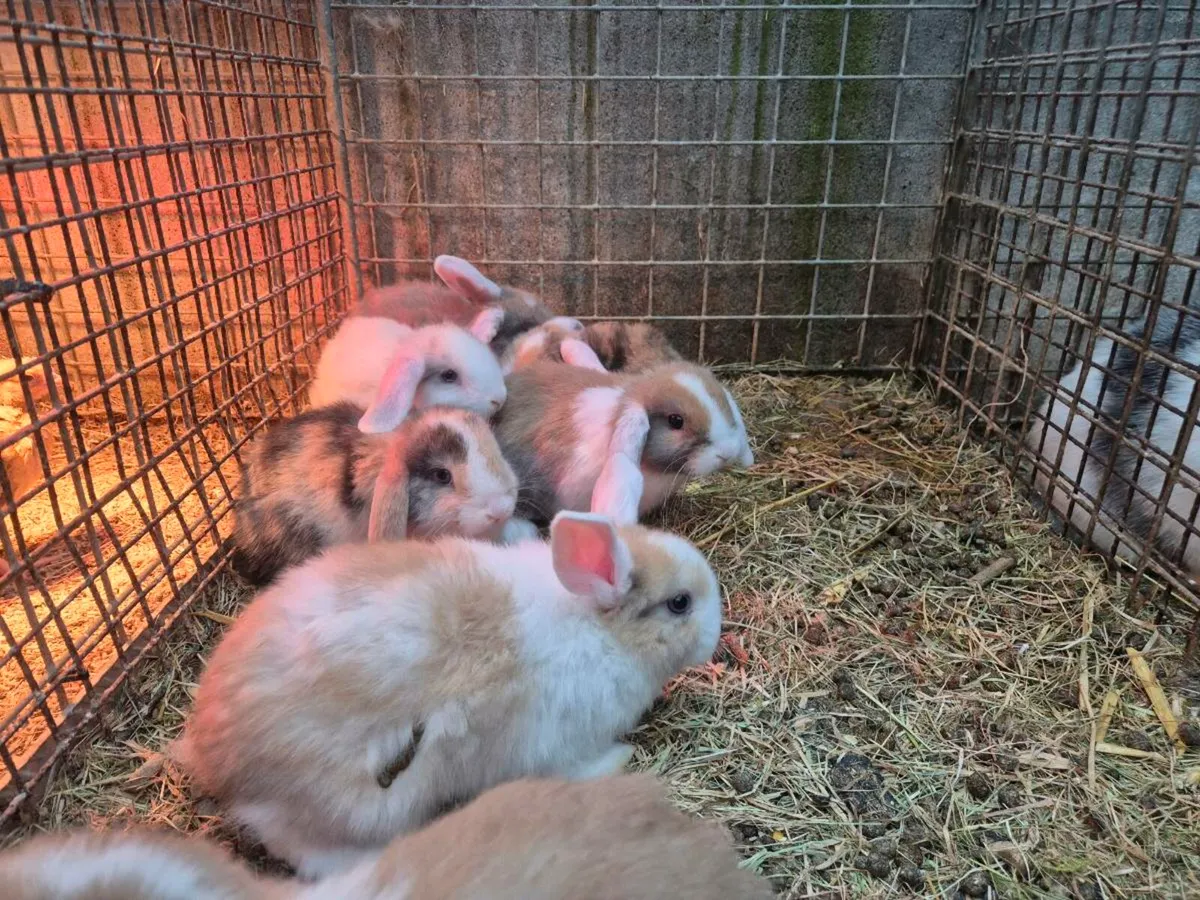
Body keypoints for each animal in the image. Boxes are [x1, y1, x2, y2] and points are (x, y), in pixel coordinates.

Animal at [172, 511, 723, 879]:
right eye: (680, 603)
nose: (717, 635)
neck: (595, 625)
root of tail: (211, 758)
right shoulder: (559, 746)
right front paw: (620, 758)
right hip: (343, 808)